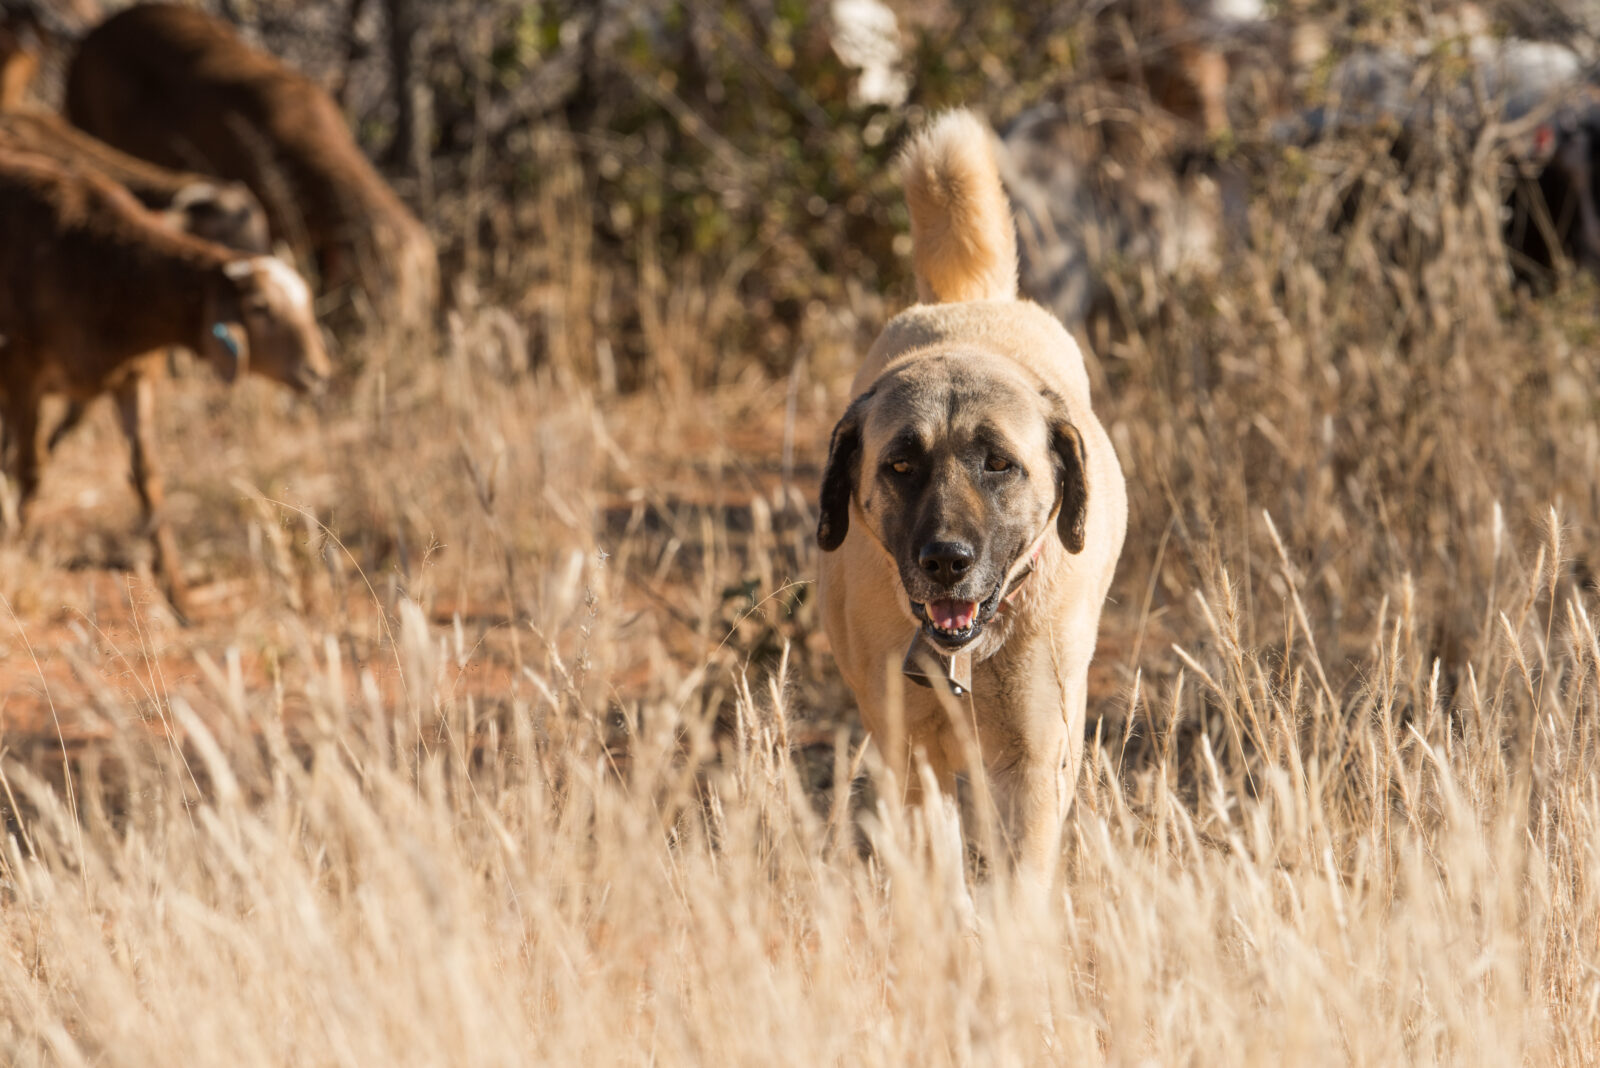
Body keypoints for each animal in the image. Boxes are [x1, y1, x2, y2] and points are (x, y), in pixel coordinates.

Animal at [0, 151, 329, 617]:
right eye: (260, 308)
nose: (318, 371)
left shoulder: (133, 379)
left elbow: (148, 478)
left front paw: (180, 597)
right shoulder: (23, 372)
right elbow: (31, 467)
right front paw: (12, 549)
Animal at [825, 108, 1126, 882]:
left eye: (999, 464)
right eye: (901, 464)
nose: (947, 562)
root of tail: (971, 302)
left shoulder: (1035, 763)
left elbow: (1020, 880)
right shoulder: (913, 759)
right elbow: (938, 867)